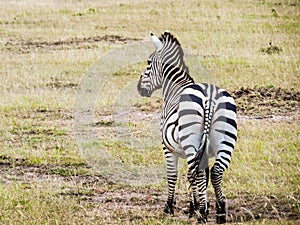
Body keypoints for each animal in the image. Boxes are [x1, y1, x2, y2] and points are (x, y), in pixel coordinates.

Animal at [137, 31, 238, 223]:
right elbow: (196, 175)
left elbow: (173, 174)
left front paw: (170, 207)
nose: (139, 88)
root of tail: (210, 97)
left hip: (192, 140)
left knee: (198, 173)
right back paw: (220, 210)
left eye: (148, 63)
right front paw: (194, 206)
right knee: (215, 172)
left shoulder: (167, 147)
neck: (175, 87)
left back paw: (203, 214)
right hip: (226, 139)